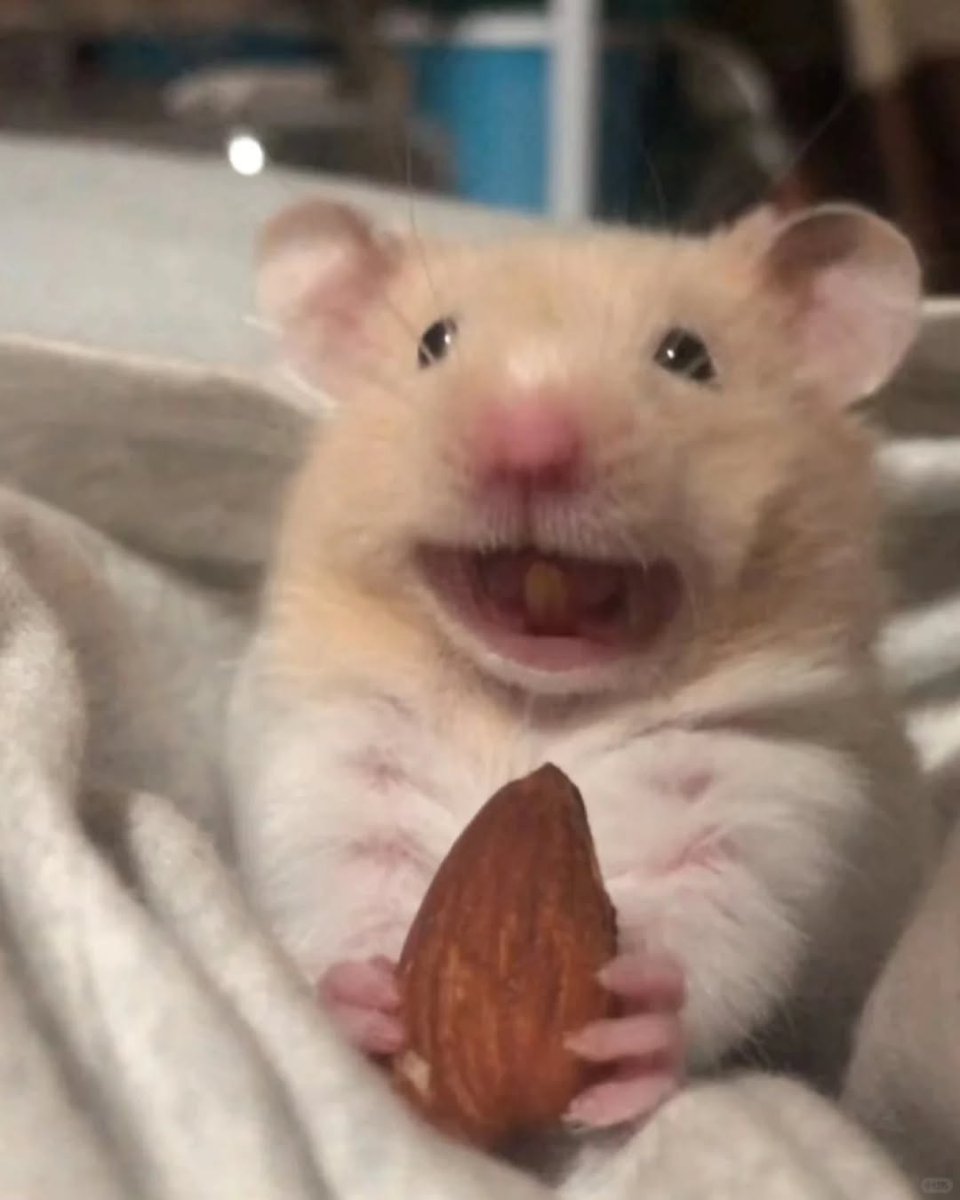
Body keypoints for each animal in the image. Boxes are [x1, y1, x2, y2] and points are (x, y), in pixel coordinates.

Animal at [226, 197, 932, 1138]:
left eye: (689, 357)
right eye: (433, 344)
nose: (530, 447)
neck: (540, 702)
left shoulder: (778, 789)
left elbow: (719, 918)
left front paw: (631, 1031)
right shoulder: (336, 752)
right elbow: (341, 874)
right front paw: (369, 1006)